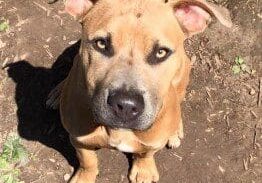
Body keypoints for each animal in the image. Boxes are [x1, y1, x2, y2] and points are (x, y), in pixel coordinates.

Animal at [47, 0, 231, 182]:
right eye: (101, 43)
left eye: (161, 52)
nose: (126, 106)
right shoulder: (78, 139)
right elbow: (88, 161)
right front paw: (85, 177)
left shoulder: (153, 142)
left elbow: (146, 154)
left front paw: (144, 171)